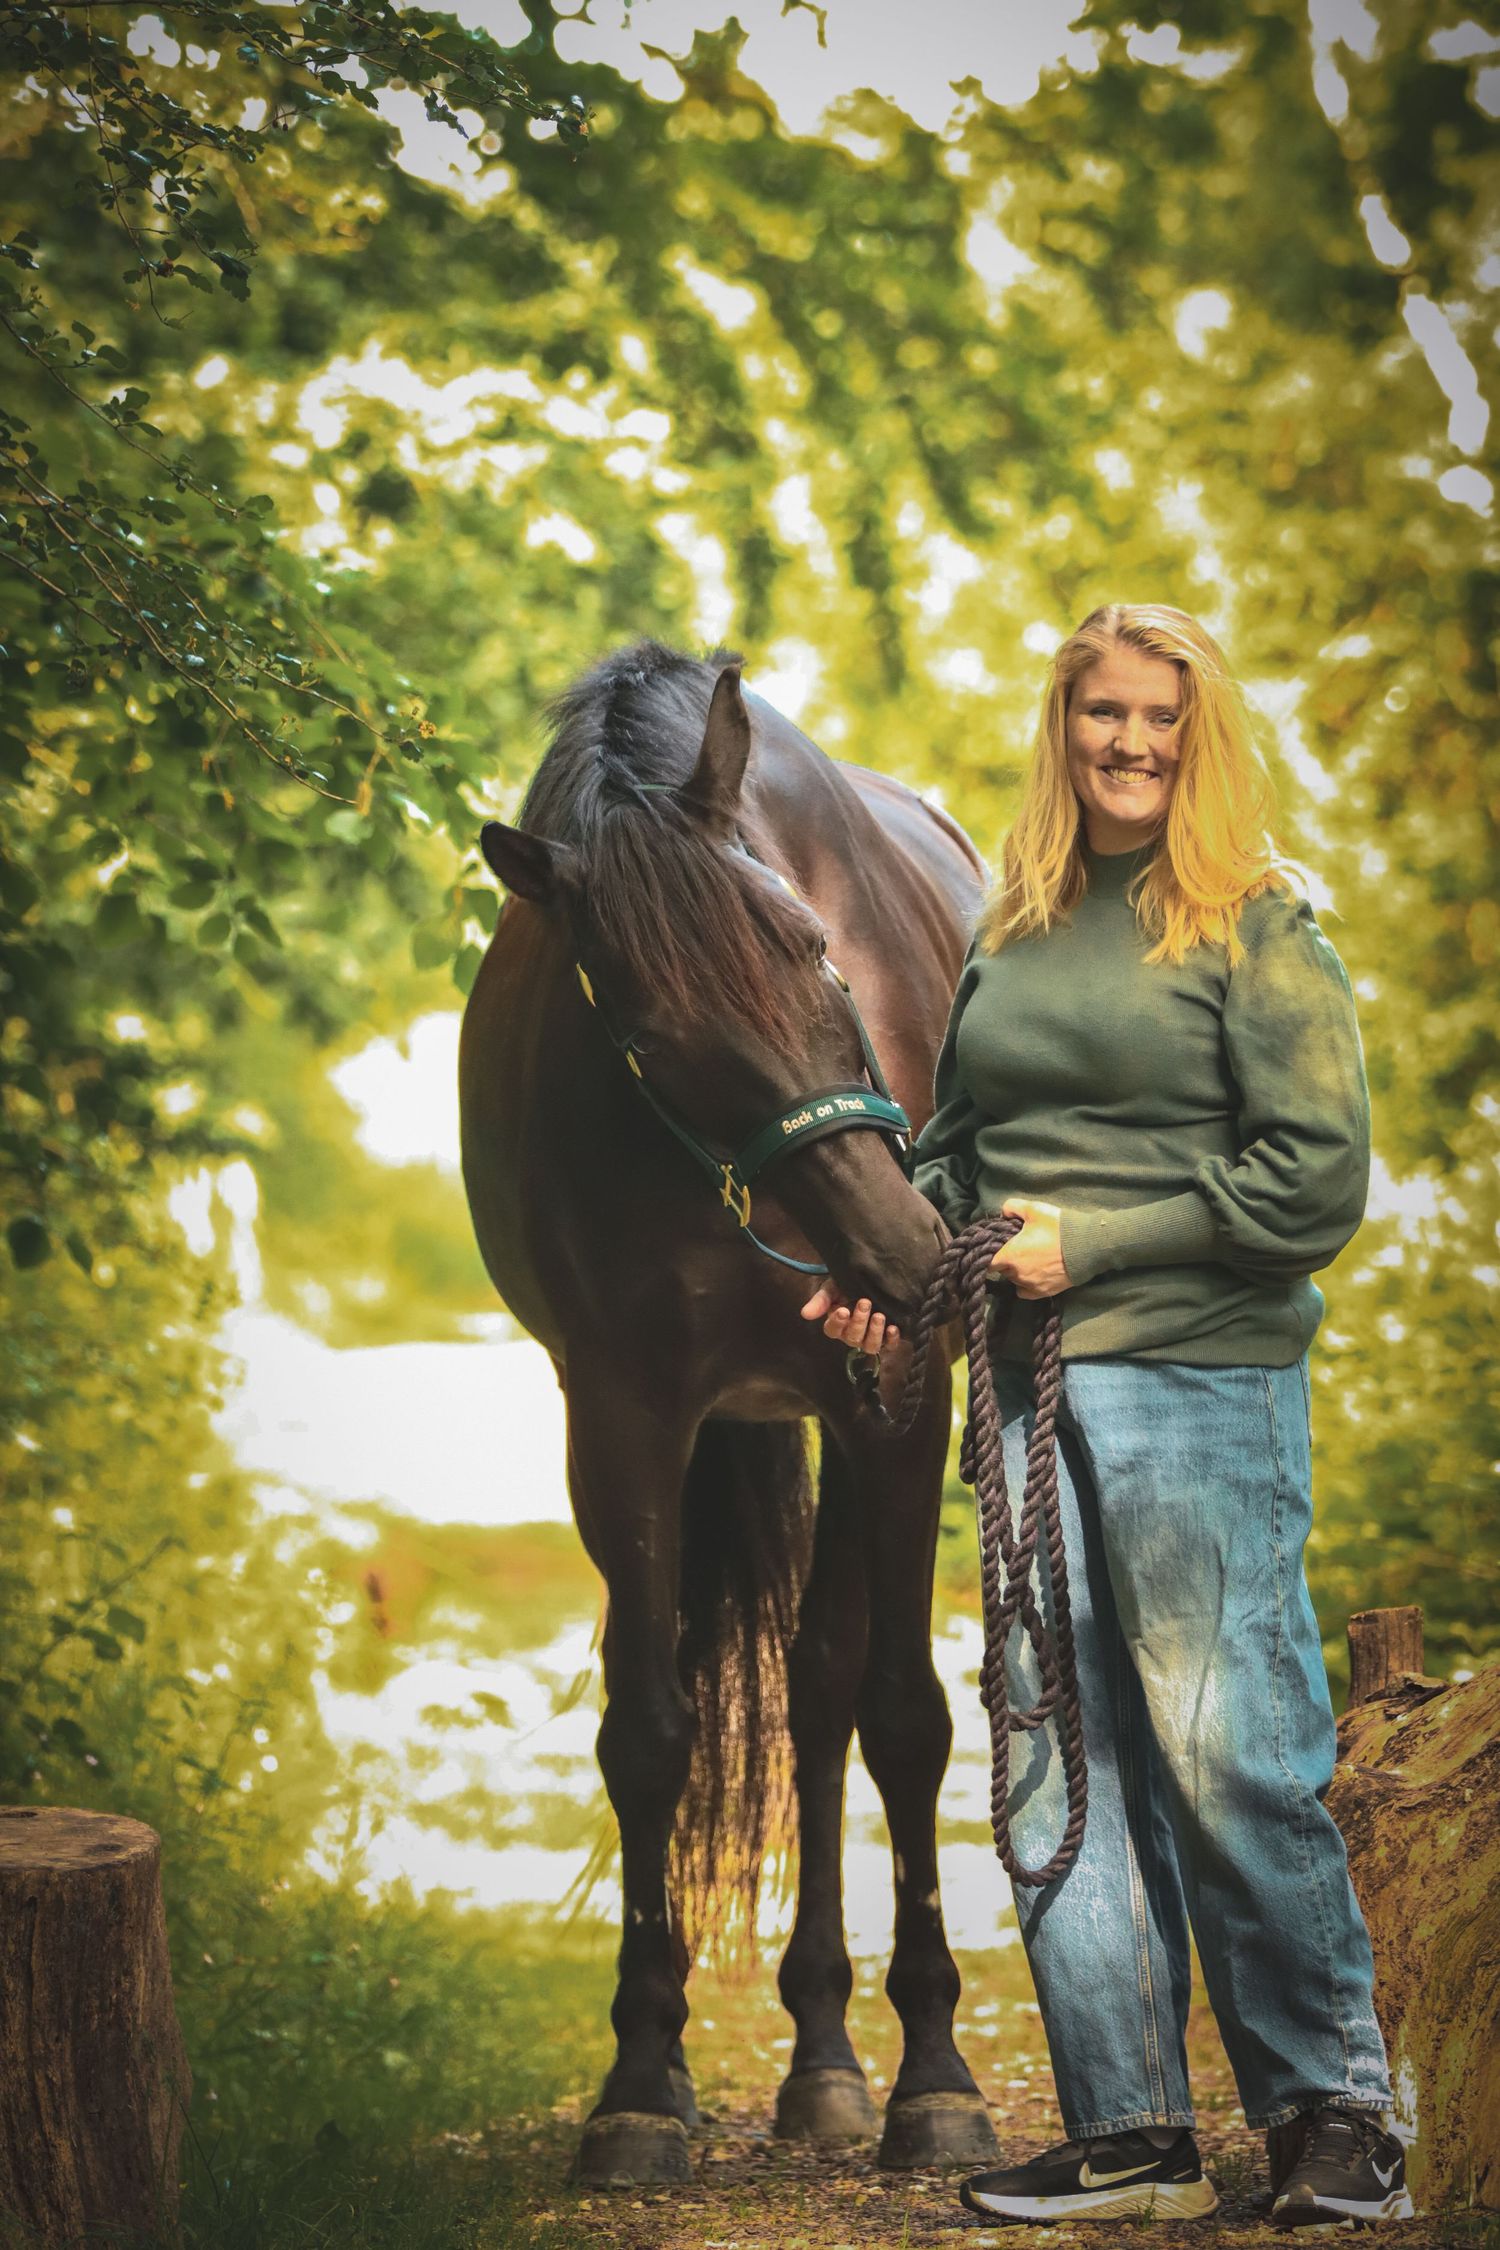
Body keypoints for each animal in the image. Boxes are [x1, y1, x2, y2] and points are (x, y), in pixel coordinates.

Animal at [459, 639, 993, 2186]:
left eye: (810, 942)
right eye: (643, 1033)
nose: (901, 1249)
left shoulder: (898, 1399)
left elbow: (904, 1716)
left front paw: (936, 2081)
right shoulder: (623, 1415)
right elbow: (648, 1731)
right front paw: (642, 2081)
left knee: (825, 1695)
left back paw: (836, 2058)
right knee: (800, 1692)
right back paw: (814, 2056)